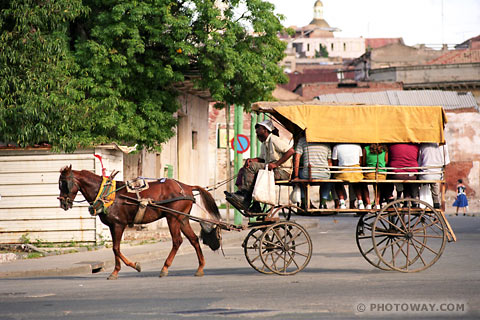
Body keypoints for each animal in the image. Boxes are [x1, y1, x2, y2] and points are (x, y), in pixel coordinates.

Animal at [57, 166, 221, 278]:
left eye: (64, 183)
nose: (63, 203)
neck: (106, 193)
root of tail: (187, 187)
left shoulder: (119, 225)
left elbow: (116, 248)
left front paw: (130, 267)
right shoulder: (112, 226)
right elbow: (115, 248)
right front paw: (120, 270)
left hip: (172, 217)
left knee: (177, 241)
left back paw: (165, 268)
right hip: (182, 219)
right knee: (193, 239)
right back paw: (200, 267)